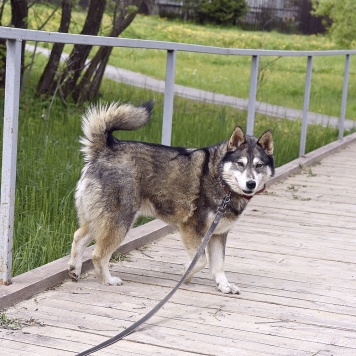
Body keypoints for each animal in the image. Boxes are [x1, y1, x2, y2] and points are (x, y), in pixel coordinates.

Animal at [69, 98, 276, 294]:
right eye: (240, 163)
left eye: (258, 165)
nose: (251, 184)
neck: (220, 180)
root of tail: (106, 148)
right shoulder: (192, 229)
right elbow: (200, 261)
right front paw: (186, 274)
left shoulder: (218, 235)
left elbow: (218, 266)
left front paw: (224, 285)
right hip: (119, 222)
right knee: (98, 255)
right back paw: (107, 280)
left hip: (100, 218)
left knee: (79, 236)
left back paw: (74, 270)